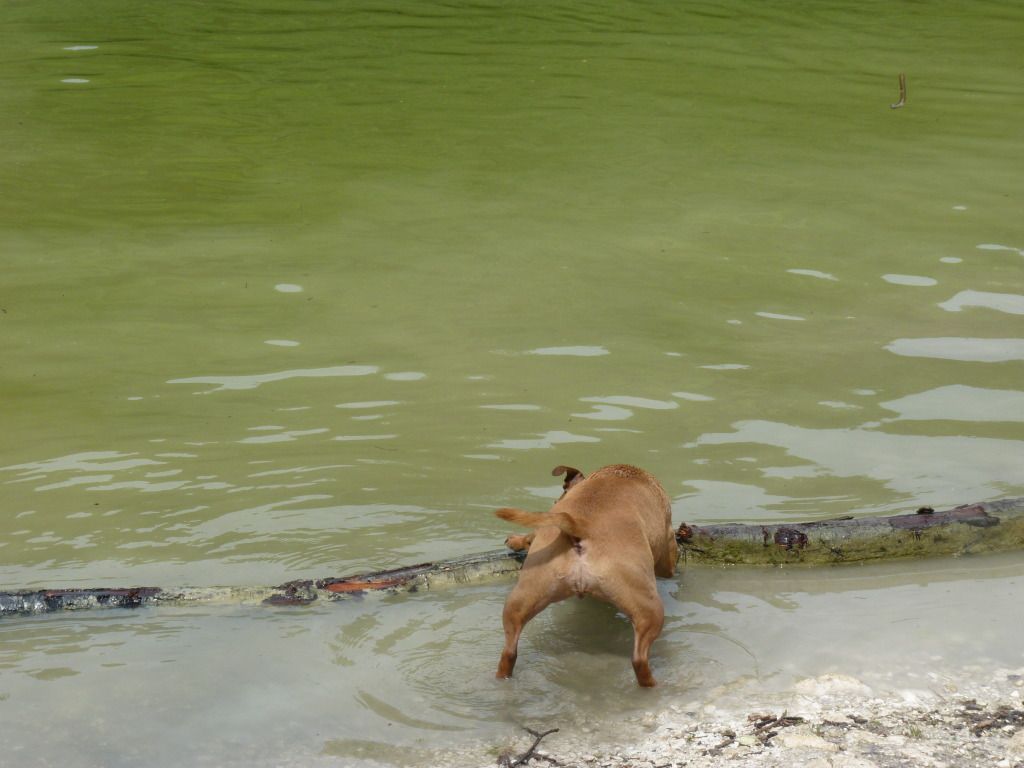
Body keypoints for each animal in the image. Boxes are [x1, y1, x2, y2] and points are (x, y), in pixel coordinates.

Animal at [497, 466, 679, 688]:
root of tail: (580, 525)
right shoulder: (668, 540)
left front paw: (518, 540)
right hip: (649, 609)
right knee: (639, 659)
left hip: (522, 598)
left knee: (509, 651)